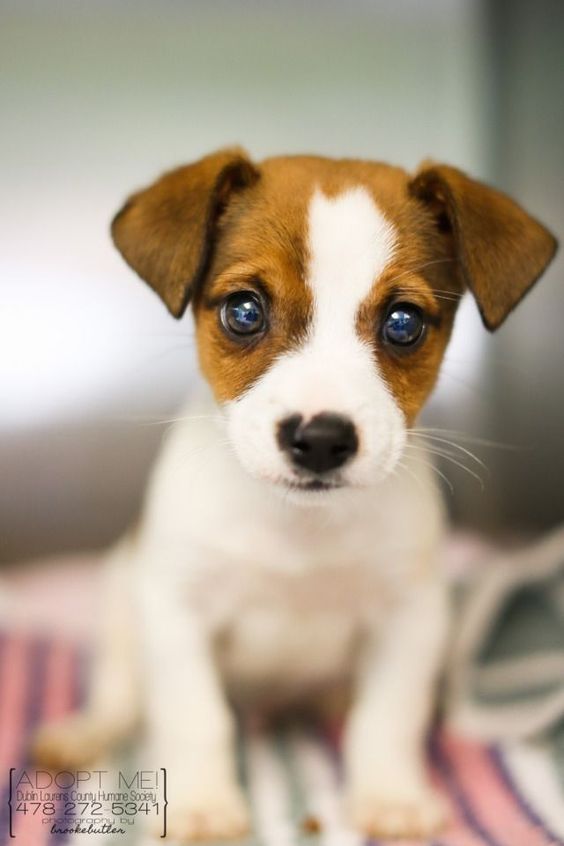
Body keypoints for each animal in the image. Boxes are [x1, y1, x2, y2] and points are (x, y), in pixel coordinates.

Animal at [33, 147, 556, 840]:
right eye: (244, 311)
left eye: (403, 323)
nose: (322, 440)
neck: (300, 530)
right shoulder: (177, 612)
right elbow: (195, 717)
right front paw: (204, 803)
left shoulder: (410, 617)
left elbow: (386, 718)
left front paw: (389, 795)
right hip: (122, 597)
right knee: (121, 693)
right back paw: (84, 731)